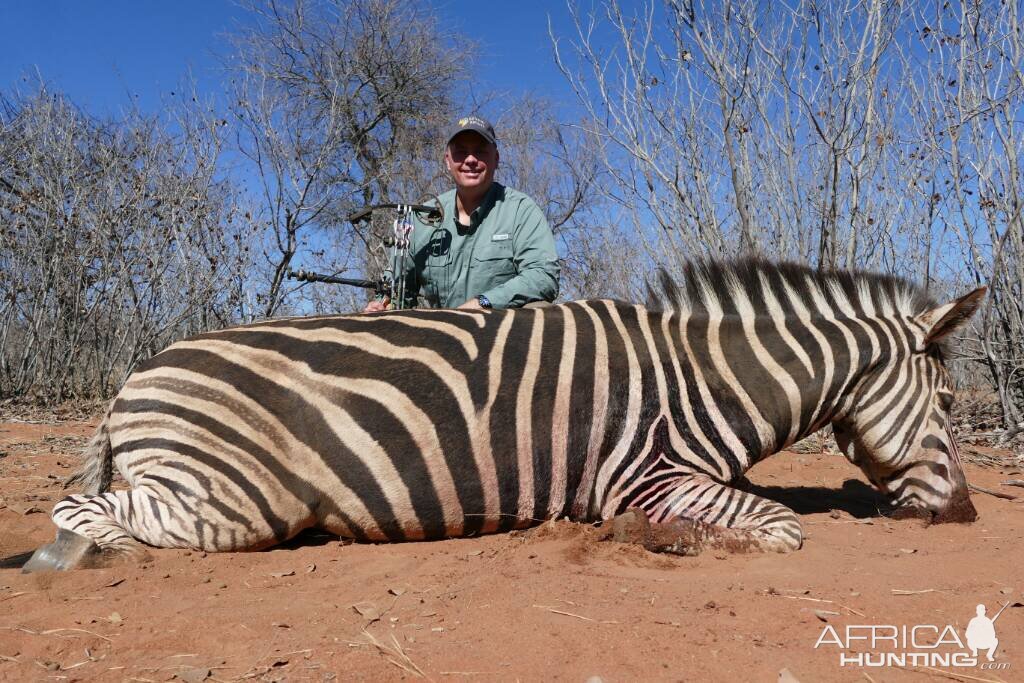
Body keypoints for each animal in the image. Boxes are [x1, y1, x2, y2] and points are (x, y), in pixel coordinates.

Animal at [22, 258, 983, 573]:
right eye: (944, 404)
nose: (970, 514)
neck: (704, 380)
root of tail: (133, 379)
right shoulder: (647, 474)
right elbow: (780, 525)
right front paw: (665, 541)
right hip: (233, 502)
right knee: (82, 513)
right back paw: (98, 556)